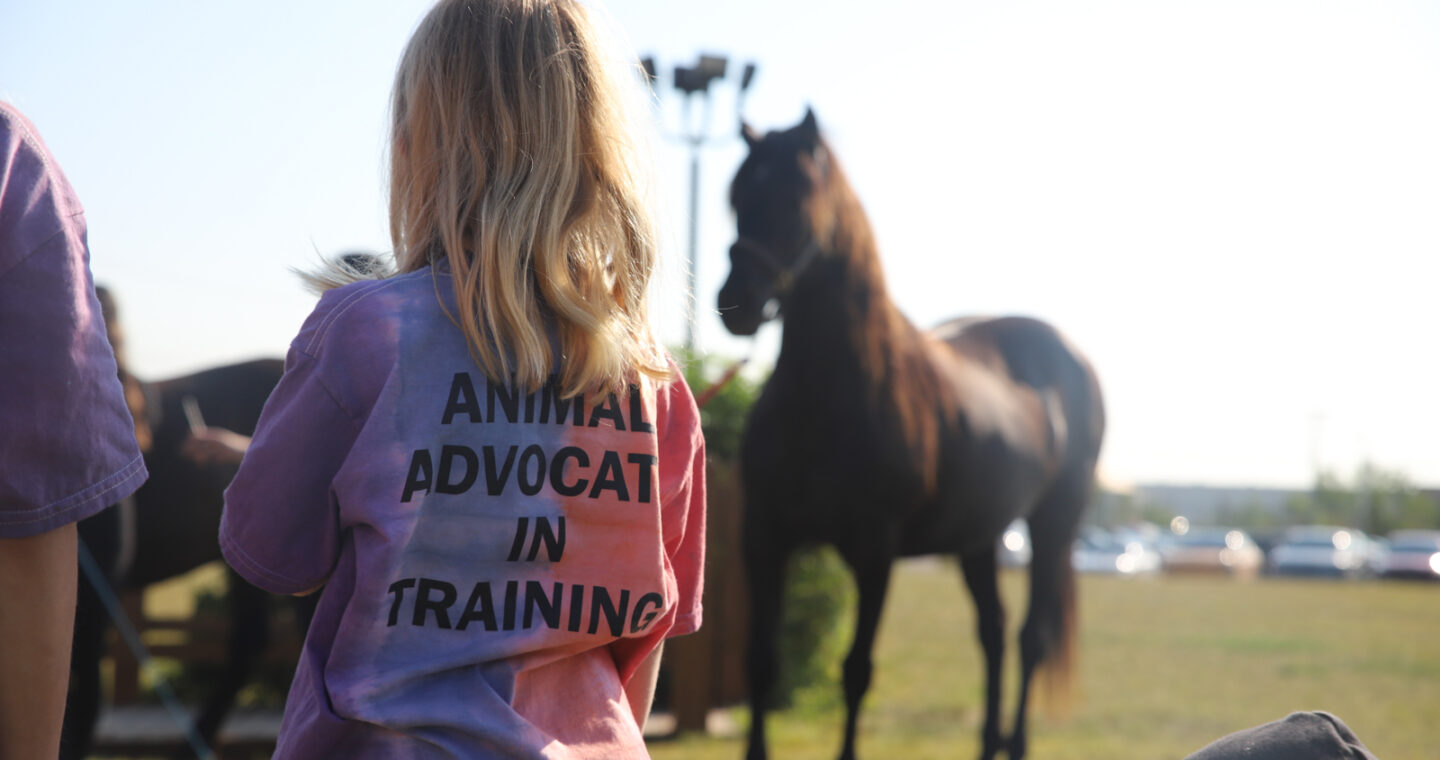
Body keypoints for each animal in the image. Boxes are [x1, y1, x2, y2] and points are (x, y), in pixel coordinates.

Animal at [717, 108, 1100, 760]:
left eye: (797, 197)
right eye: (737, 198)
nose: (735, 302)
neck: (829, 395)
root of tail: (1070, 357)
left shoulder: (874, 553)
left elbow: (856, 671)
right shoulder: (764, 539)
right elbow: (760, 662)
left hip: (1053, 525)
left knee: (1031, 639)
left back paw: (1014, 741)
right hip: (978, 538)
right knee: (994, 633)